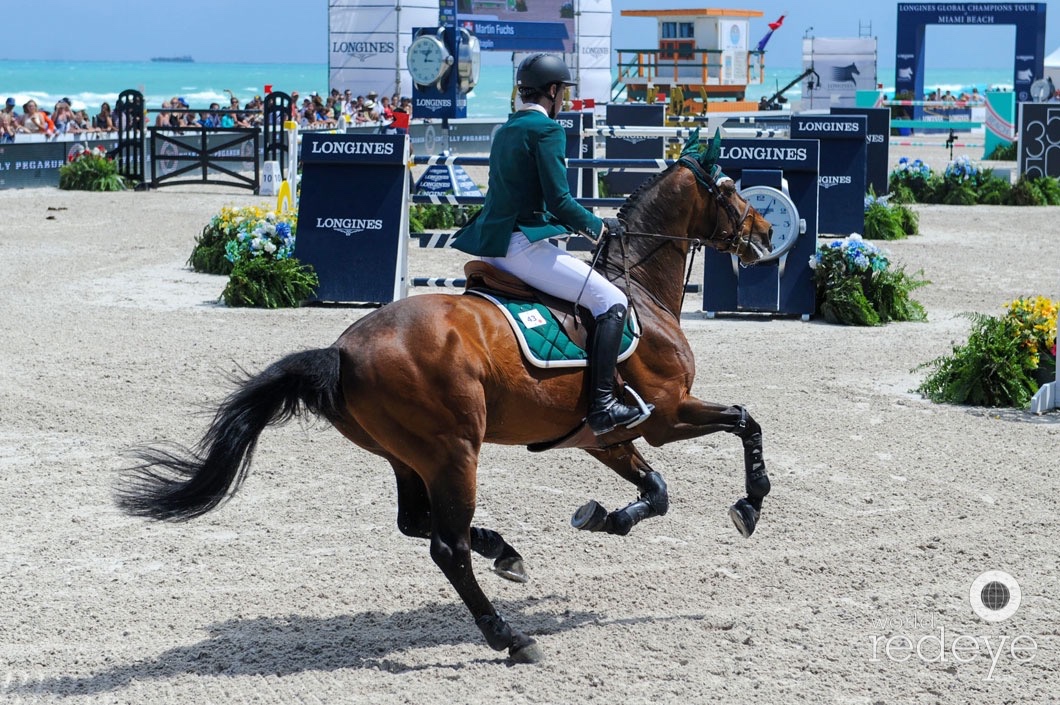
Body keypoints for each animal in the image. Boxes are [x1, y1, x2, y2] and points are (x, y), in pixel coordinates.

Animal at [120, 129, 775, 661]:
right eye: (729, 188)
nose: (767, 232)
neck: (636, 287)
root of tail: (341, 351)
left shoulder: (605, 435)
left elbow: (657, 490)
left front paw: (605, 518)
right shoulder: (665, 415)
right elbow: (746, 421)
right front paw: (749, 505)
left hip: (408, 455)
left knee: (416, 523)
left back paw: (504, 552)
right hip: (455, 450)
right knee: (445, 546)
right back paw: (509, 637)